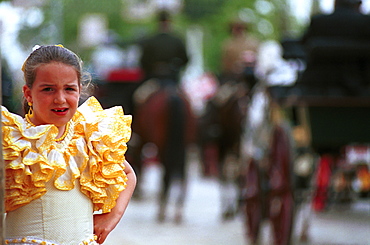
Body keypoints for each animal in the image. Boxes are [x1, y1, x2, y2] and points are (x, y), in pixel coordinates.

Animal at [127, 79, 197, 223]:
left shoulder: (141, 140)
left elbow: (140, 162)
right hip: (185, 144)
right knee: (183, 172)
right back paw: (178, 209)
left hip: (162, 145)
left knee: (167, 173)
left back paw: (162, 209)